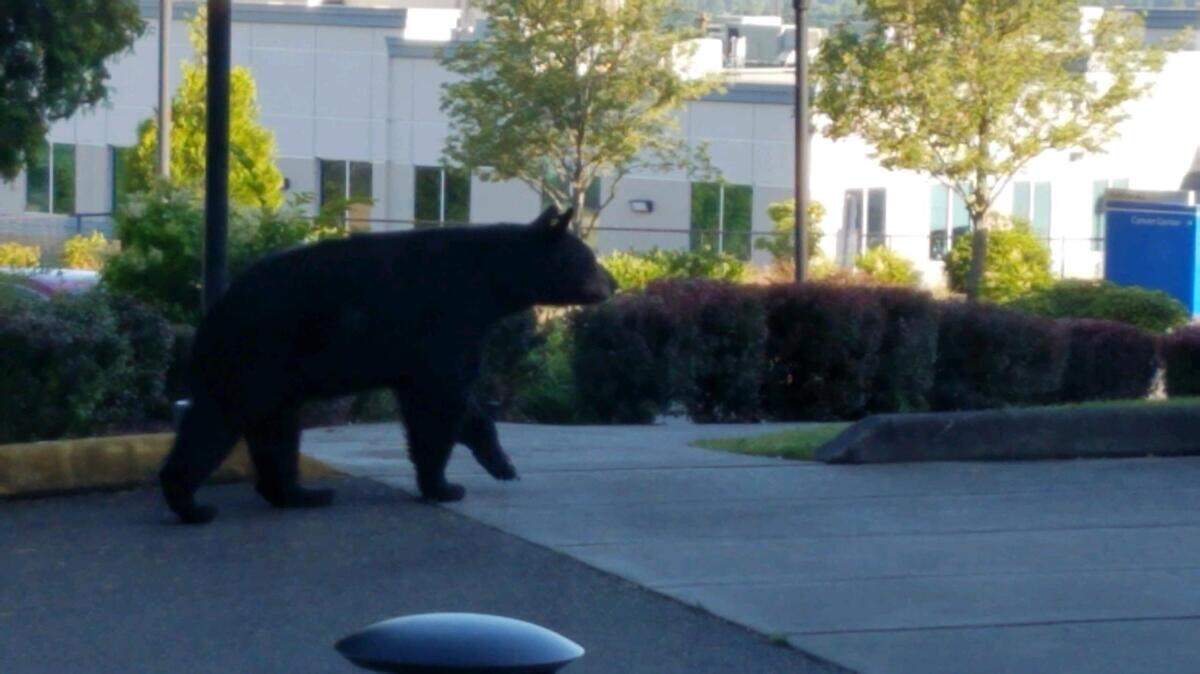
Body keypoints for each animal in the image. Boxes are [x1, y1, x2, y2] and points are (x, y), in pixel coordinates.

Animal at [160, 206, 613, 524]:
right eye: (589, 258)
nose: (614, 282)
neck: (490, 283)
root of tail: (214, 313)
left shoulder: (436, 344)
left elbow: (453, 401)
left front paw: (501, 463)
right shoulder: (449, 317)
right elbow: (439, 400)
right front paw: (443, 486)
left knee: (275, 431)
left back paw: (299, 494)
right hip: (258, 357)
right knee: (222, 422)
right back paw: (192, 504)